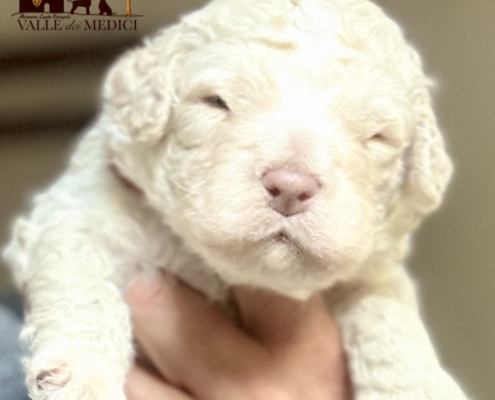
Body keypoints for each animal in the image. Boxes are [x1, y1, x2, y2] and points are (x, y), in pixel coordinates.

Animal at [3, 0, 470, 400]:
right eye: (216, 102)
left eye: (377, 137)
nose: (290, 186)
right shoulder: (83, 208)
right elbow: (84, 282)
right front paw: (83, 379)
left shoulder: (371, 261)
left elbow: (388, 309)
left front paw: (418, 385)